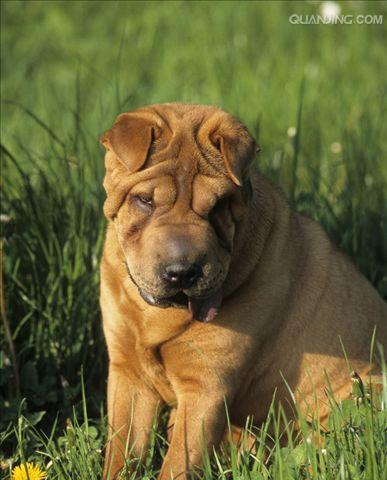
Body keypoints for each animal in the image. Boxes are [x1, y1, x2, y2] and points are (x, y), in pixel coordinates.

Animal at [98, 103, 387, 478]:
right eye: (144, 200)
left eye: (219, 205)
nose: (183, 272)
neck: (157, 316)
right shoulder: (128, 374)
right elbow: (120, 453)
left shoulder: (205, 387)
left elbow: (176, 465)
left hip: (362, 391)